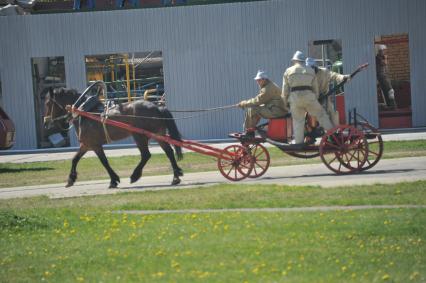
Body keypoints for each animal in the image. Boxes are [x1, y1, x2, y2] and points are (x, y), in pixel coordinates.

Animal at [43, 86, 183, 189]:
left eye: (48, 103)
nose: (45, 122)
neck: (85, 112)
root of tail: (157, 106)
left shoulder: (94, 145)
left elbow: (104, 162)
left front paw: (113, 180)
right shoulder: (86, 145)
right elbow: (75, 159)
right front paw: (71, 179)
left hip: (139, 136)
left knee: (146, 155)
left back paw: (135, 176)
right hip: (158, 135)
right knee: (169, 152)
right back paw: (176, 176)